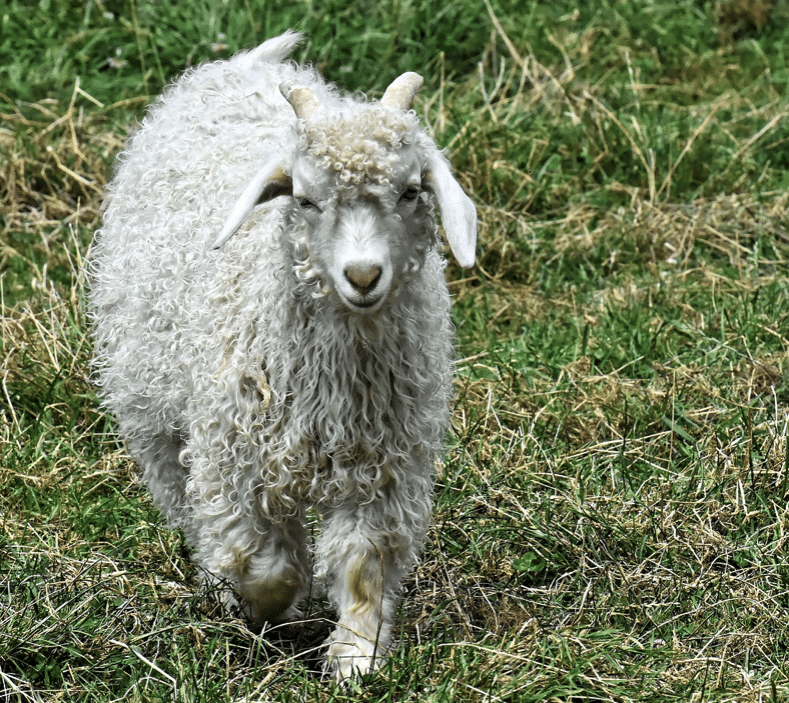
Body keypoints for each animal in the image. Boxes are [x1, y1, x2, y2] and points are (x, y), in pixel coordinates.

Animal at [89, 30, 478, 680]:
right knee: (180, 494)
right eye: (304, 198)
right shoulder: (234, 457)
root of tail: (241, 65)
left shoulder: (386, 464)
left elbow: (363, 563)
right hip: (149, 396)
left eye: (409, 191)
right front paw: (265, 607)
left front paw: (356, 656)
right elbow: (267, 565)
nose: (363, 275)